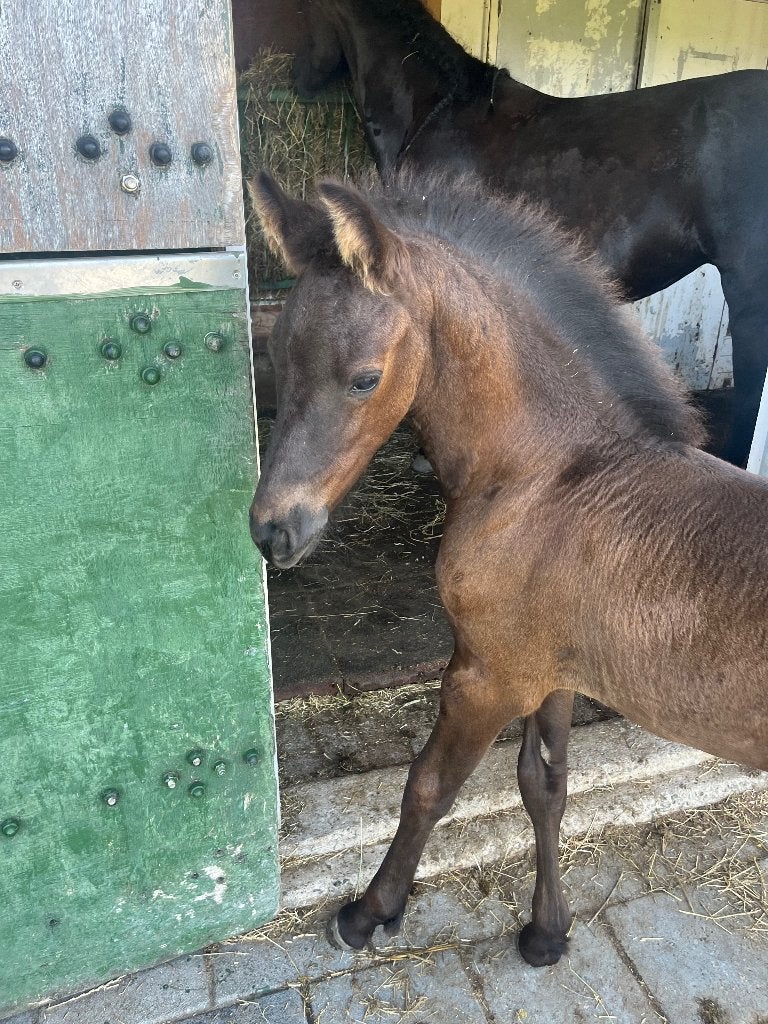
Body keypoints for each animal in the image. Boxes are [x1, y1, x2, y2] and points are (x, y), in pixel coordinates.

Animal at [248, 167, 768, 967]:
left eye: (365, 378)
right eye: (275, 356)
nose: (274, 530)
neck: (551, 479)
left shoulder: (487, 677)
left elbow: (429, 787)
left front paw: (370, 913)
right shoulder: (551, 670)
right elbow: (545, 784)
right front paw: (548, 929)